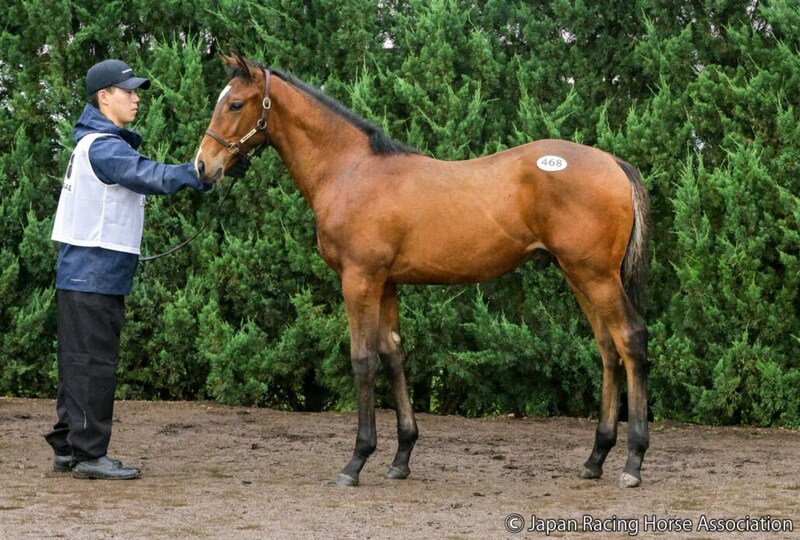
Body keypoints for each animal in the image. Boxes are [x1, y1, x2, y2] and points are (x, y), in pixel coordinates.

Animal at [195, 52, 651, 488]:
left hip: (596, 275)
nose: (203, 167)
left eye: (235, 104)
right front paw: (401, 457)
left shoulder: (359, 279)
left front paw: (356, 460)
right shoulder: (386, 283)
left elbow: (363, 359)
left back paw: (633, 462)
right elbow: (393, 354)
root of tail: (613, 162)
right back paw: (595, 459)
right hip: (578, 275)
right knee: (607, 347)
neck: (351, 171)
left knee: (630, 339)